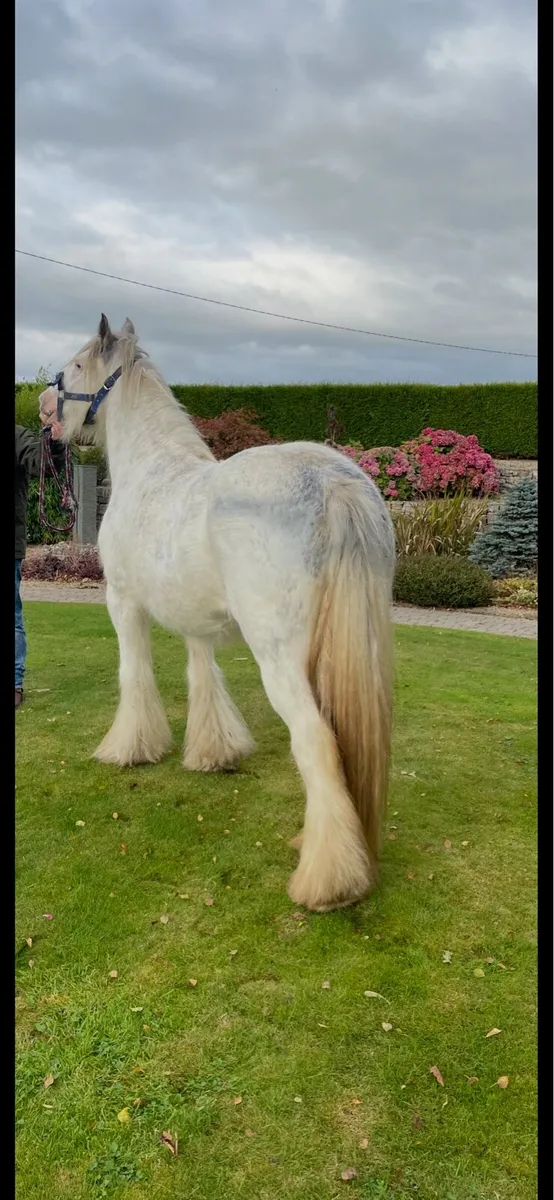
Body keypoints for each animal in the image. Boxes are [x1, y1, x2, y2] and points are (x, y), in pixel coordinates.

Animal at [39, 315, 395, 913]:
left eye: (76, 366)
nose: (43, 406)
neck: (149, 472)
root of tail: (332, 481)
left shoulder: (122, 603)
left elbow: (134, 675)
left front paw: (129, 748)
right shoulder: (196, 621)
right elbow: (203, 676)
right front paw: (214, 753)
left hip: (280, 657)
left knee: (316, 740)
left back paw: (327, 881)